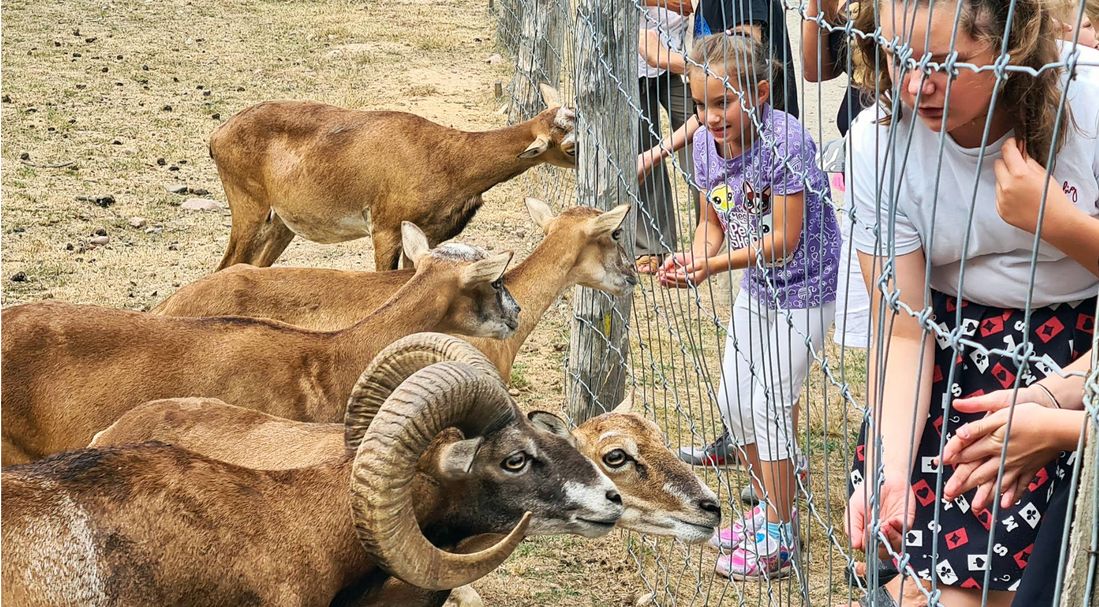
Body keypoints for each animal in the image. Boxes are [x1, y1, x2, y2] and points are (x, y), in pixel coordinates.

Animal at [208, 83, 580, 270]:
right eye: (572, 147)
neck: (446, 157)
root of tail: (217, 137)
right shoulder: (385, 229)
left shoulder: (427, 235)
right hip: (250, 210)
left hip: (281, 224)